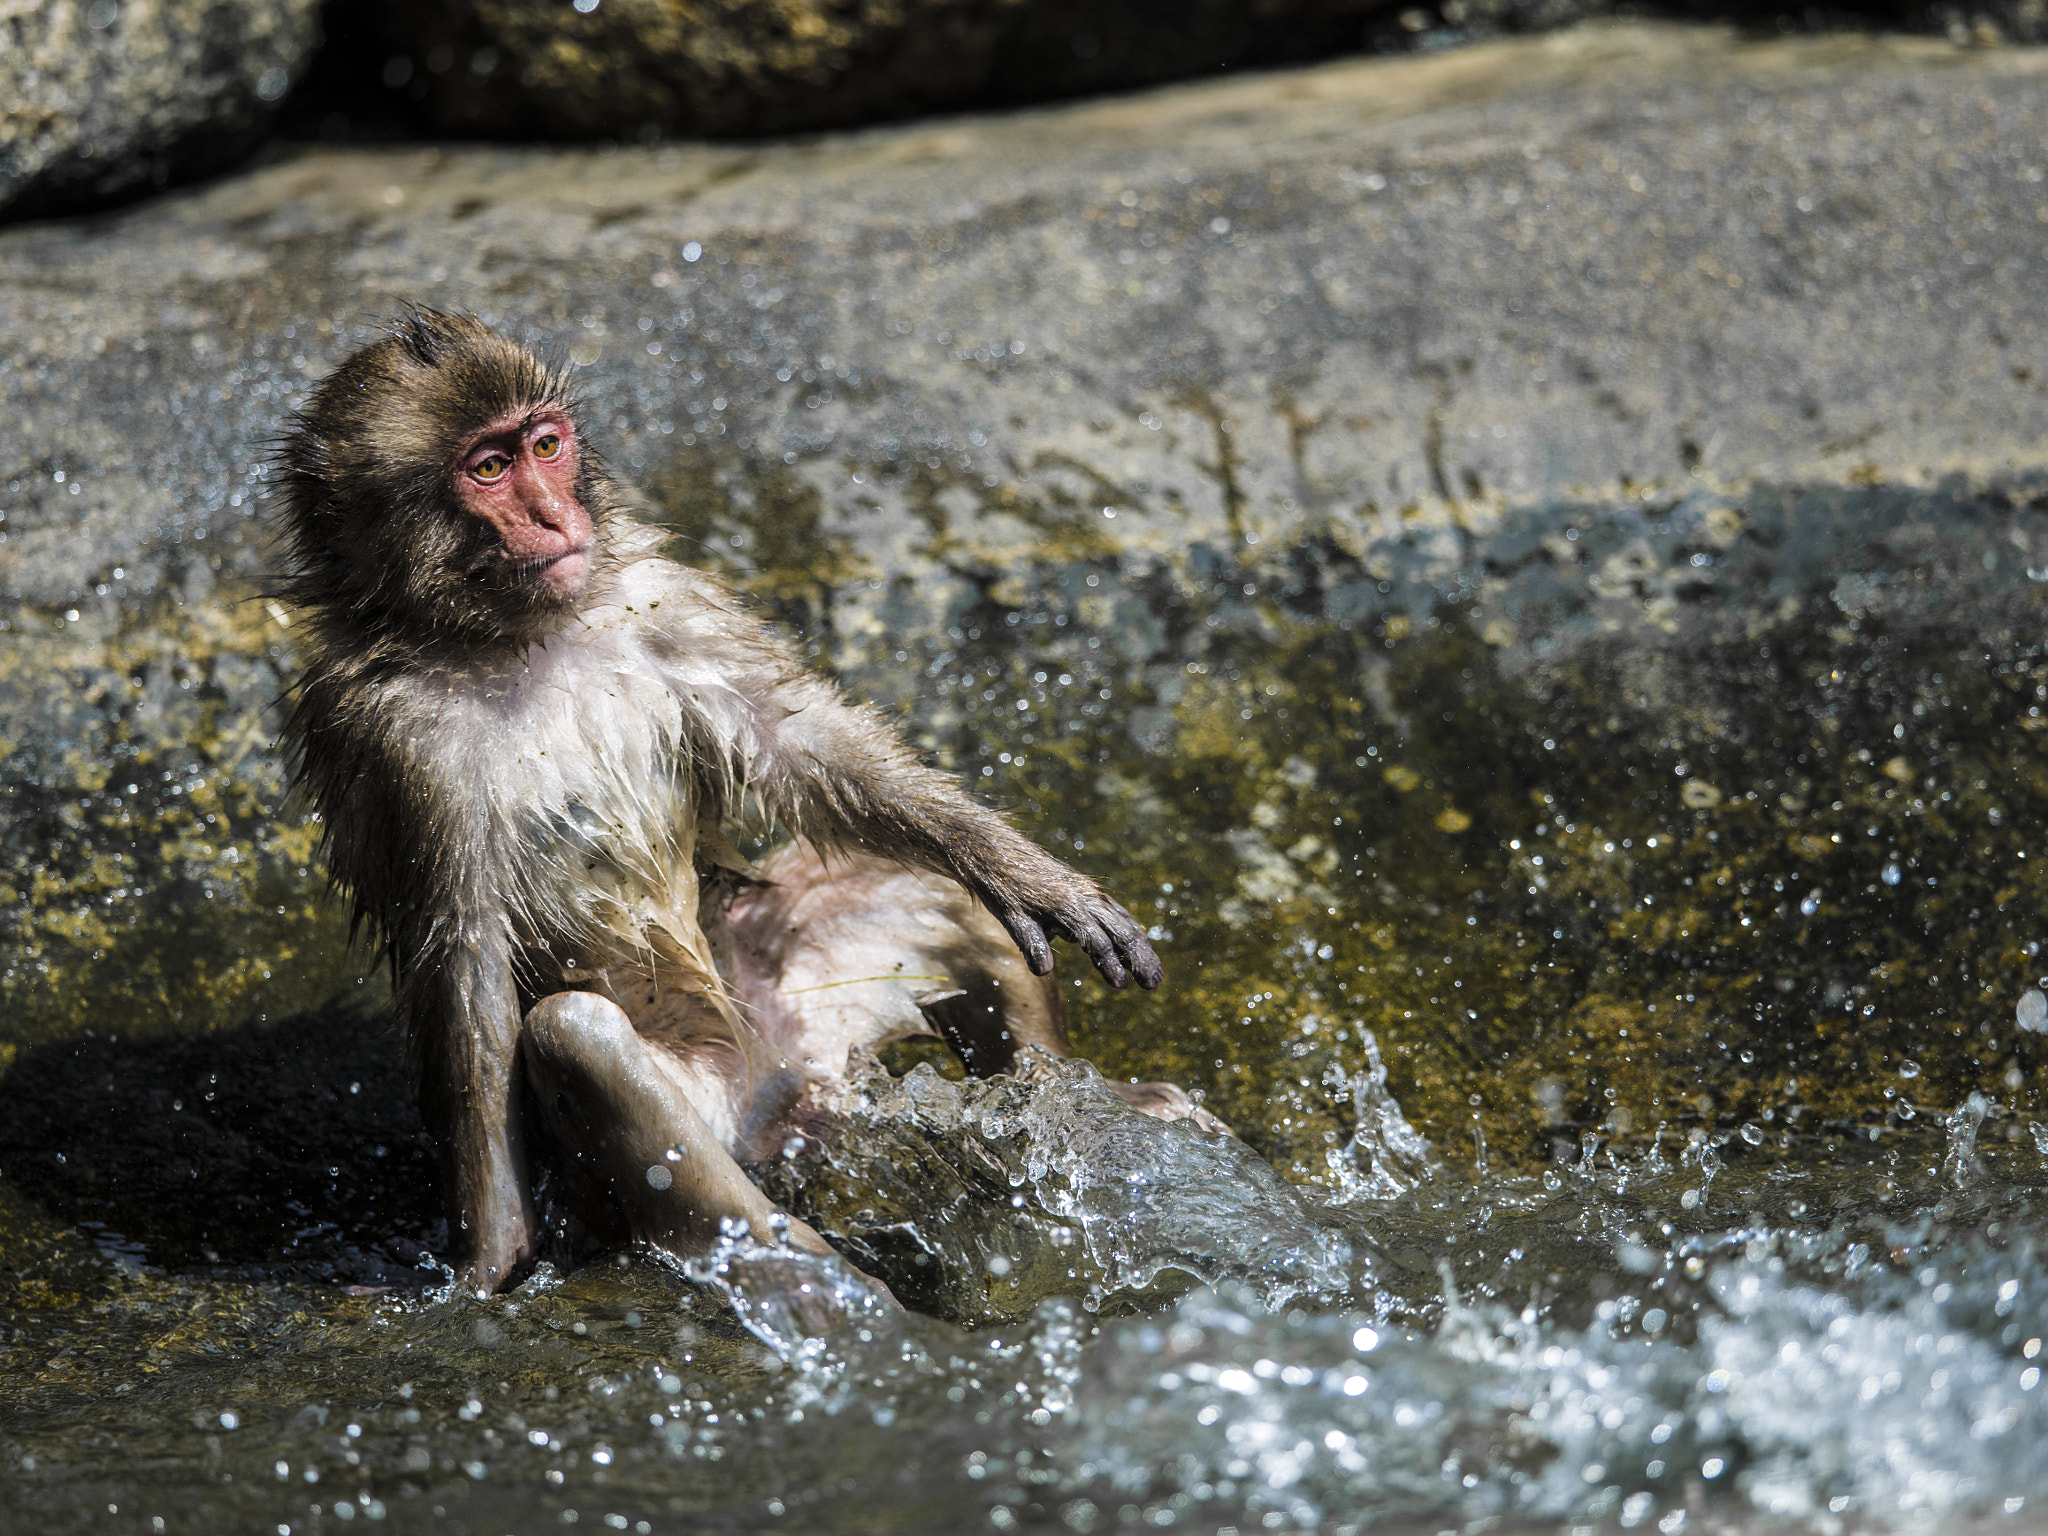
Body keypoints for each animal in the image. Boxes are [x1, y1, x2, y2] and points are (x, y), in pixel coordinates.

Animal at [272, 313, 1212, 1302]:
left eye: (545, 446)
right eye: (487, 469)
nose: (556, 518)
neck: (516, 640)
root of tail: (787, 1099)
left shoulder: (658, 596)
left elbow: (793, 739)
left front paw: (1026, 875)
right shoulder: (399, 742)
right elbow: (467, 962)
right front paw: (486, 1262)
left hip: (800, 1003)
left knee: (921, 884)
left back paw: (1090, 1097)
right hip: (714, 1104)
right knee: (578, 1038)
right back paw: (786, 1261)